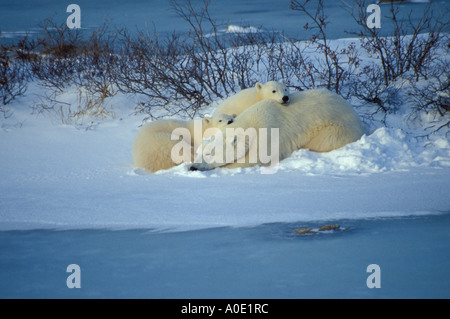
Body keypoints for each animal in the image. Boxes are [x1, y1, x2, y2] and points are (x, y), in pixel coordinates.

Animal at [190, 89, 362, 172]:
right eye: (199, 152)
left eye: (208, 153)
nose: (192, 166)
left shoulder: (267, 134)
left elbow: (254, 158)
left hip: (337, 127)